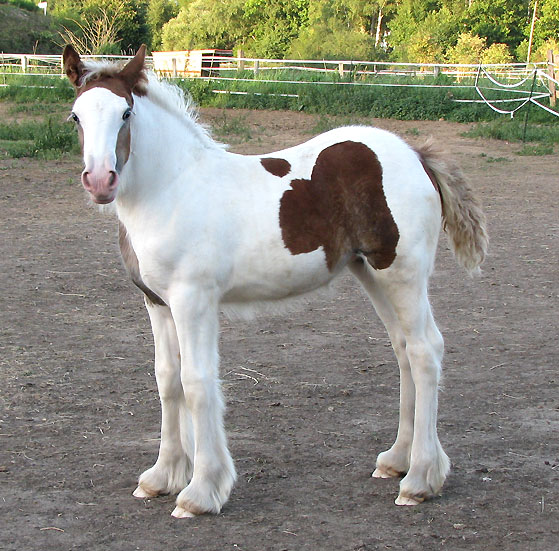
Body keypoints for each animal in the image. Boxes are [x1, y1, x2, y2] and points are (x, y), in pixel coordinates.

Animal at [63, 45, 488, 520]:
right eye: (76, 116)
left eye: (126, 113)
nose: (100, 180)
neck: (170, 189)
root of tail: (416, 154)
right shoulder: (157, 302)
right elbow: (168, 380)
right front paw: (162, 476)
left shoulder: (194, 300)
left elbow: (197, 382)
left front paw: (201, 491)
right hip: (372, 273)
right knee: (404, 351)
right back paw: (396, 460)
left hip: (403, 273)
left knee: (425, 351)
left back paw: (420, 479)